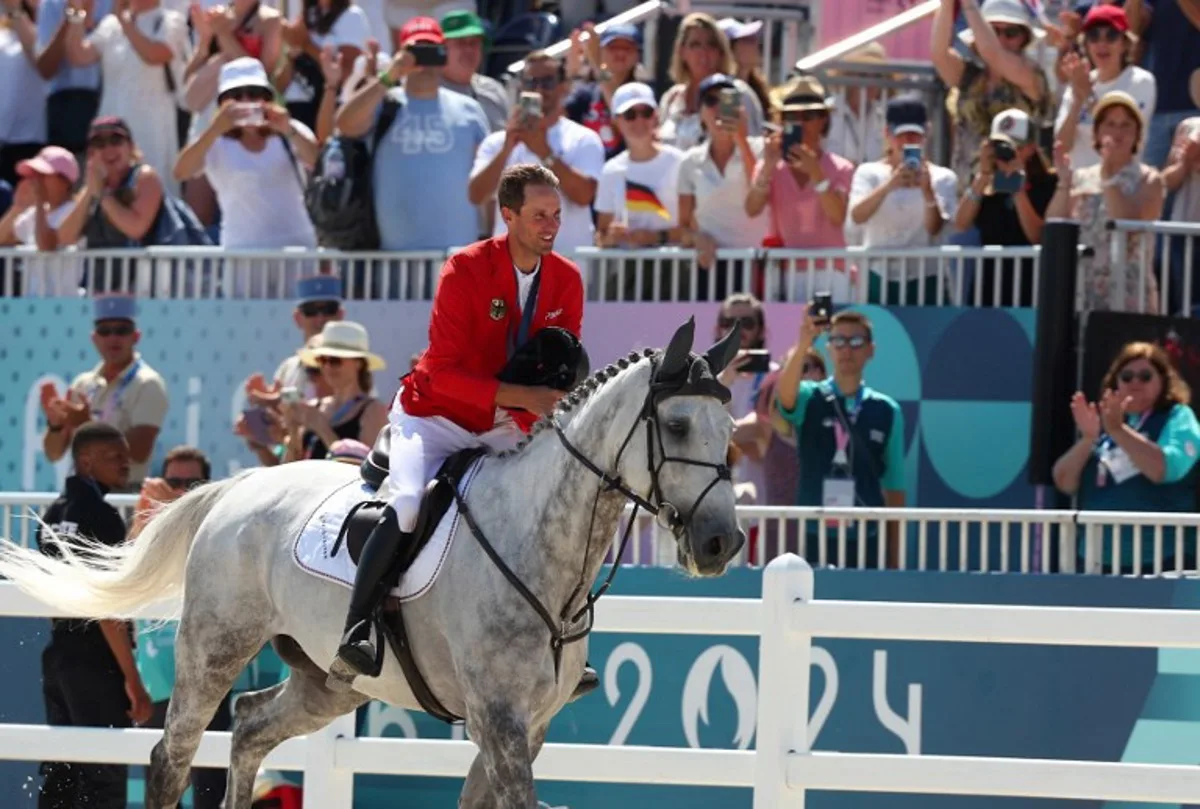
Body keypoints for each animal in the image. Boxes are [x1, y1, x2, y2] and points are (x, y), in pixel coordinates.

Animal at [0, 316, 744, 806]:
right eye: (676, 426)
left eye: (729, 430)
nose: (722, 543)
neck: (543, 548)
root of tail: (240, 486)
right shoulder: (498, 719)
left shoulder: (526, 726)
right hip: (215, 646)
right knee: (171, 755)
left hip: (330, 680)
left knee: (250, 728)